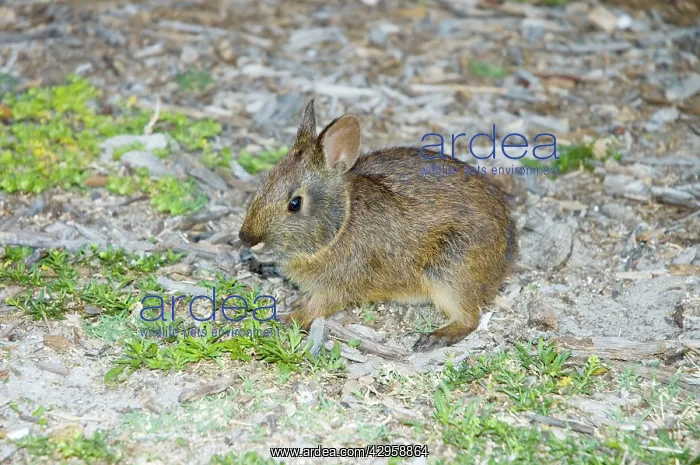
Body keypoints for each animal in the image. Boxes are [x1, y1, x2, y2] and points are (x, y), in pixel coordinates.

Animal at [238, 100, 518, 351]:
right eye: (265, 181)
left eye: (295, 203)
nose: (247, 238)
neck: (340, 224)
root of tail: (508, 252)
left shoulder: (339, 285)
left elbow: (318, 307)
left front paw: (287, 318)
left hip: (449, 272)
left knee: (470, 318)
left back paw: (434, 338)